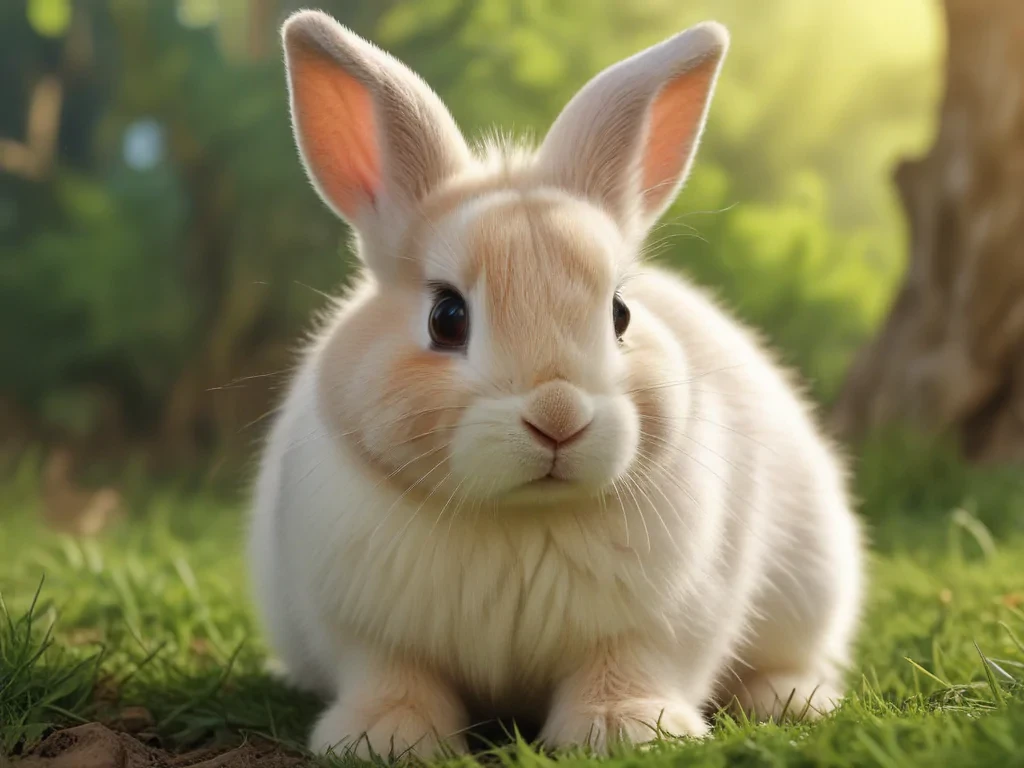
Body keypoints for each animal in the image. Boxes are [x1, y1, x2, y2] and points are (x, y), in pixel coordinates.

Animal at [248, 9, 864, 759]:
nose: (558, 415)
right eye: (447, 318)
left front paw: (626, 729)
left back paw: (791, 700)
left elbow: (626, 668)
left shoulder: (659, 625)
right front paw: (385, 737)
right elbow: (394, 678)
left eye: (620, 313)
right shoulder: (366, 632)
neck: (521, 516)